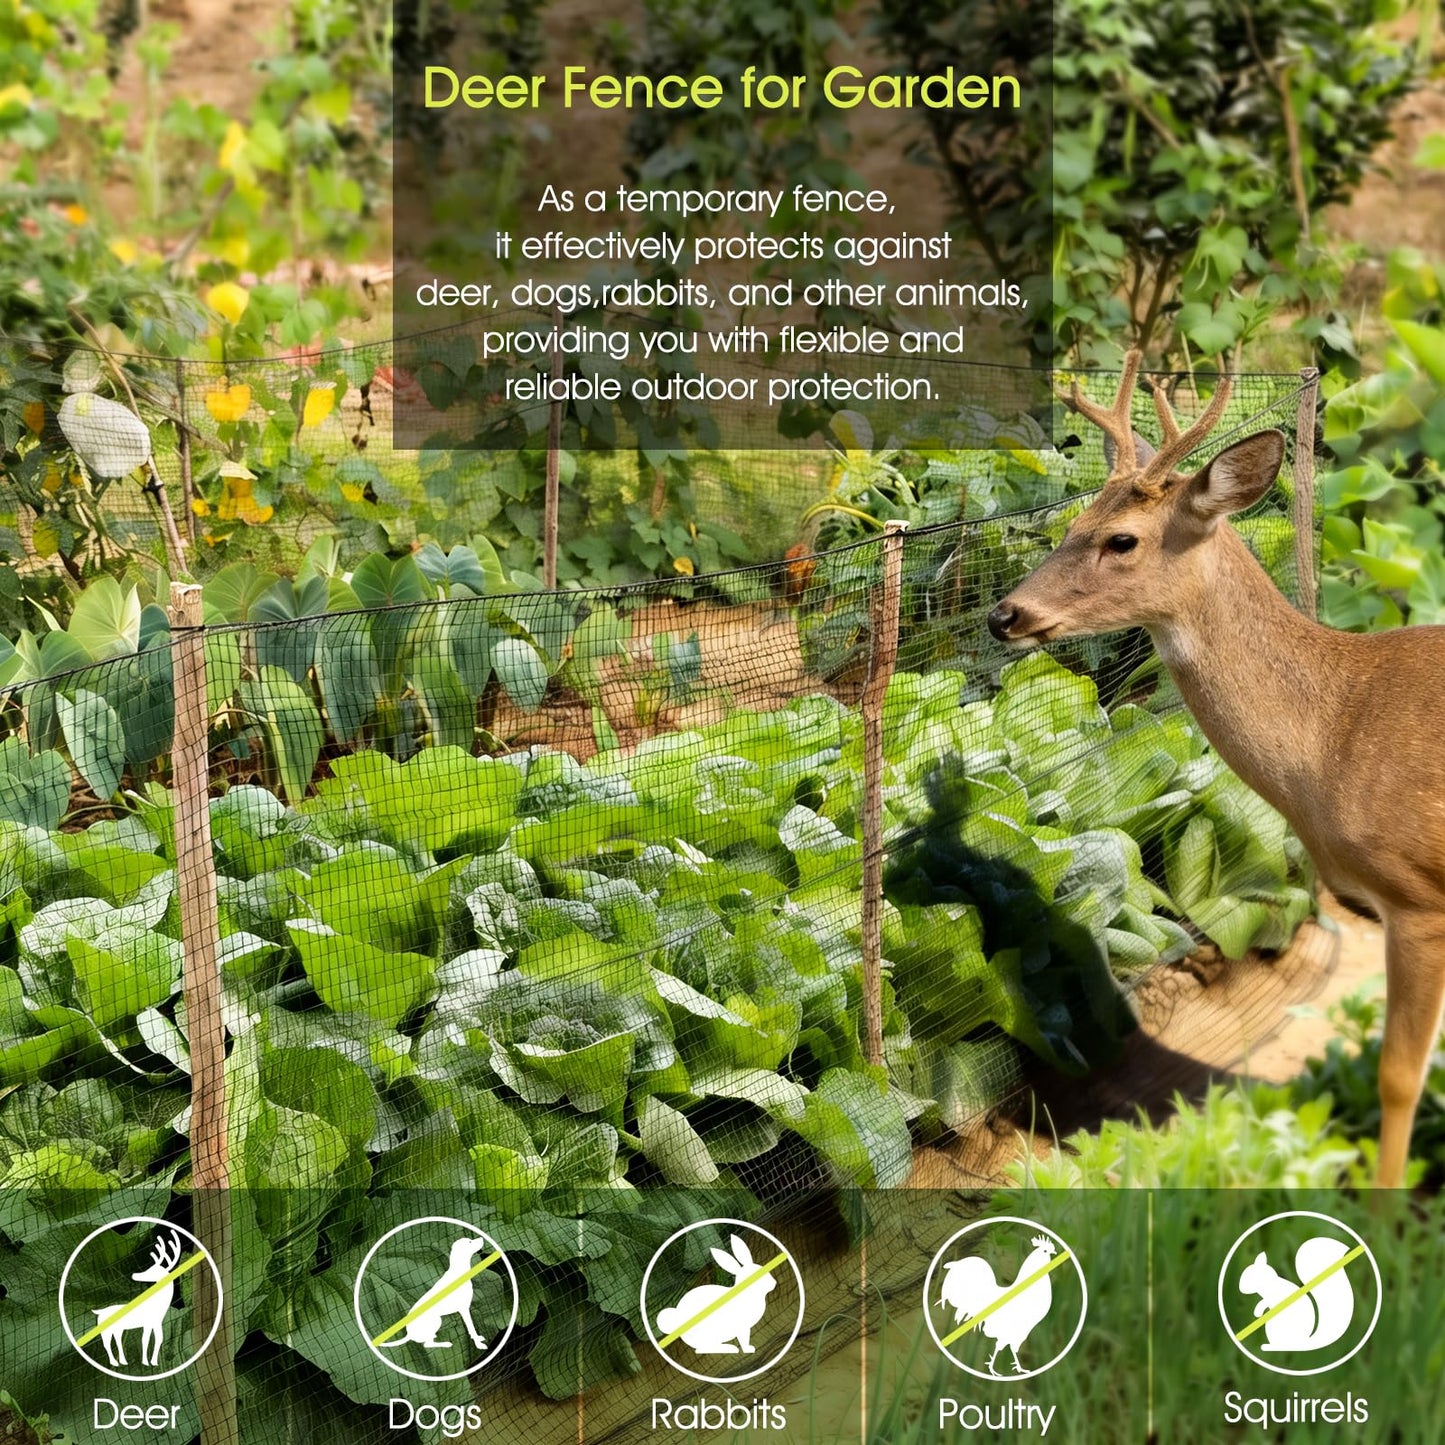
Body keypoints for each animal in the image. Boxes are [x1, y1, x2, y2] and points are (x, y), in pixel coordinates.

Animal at [986, 350, 1445, 1188]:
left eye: (1121, 539)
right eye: (1070, 525)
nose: (1002, 615)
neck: (1336, 734)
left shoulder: (1418, 897)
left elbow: (1400, 1073)